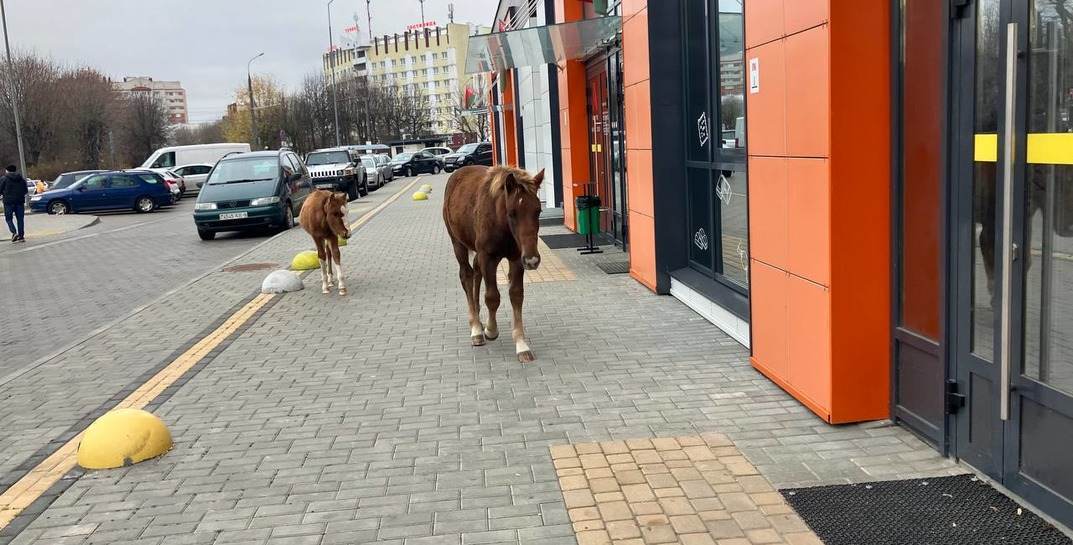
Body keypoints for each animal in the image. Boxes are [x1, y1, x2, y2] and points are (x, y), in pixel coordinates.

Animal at [442, 165, 545, 362]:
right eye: (512, 212)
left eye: (538, 211)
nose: (532, 260)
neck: (501, 223)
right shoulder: (488, 257)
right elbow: (492, 297)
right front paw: (491, 330)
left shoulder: (516, 258)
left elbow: (516, 295)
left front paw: (521, 344)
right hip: (457, 243)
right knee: (466, 275)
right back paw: (475, 328)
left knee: (476, 271)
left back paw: (478, 317)